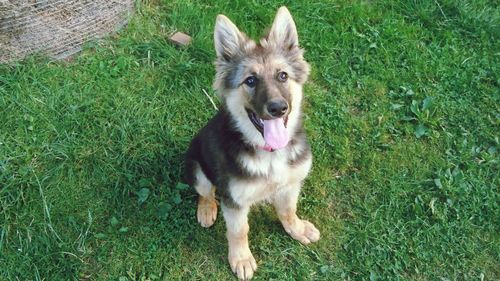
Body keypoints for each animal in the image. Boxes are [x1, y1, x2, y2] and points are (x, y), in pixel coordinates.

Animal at [184, 7, 320, 280]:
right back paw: (206, 209)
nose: (278, 108)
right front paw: (241, 258)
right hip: (196, 166)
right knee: (205, 192)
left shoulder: (291, 183)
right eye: (250, 80)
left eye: (283, 75)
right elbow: (239, 230)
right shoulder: (234, 200)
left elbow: (288, 210)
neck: (270, 153)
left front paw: (297, 228)